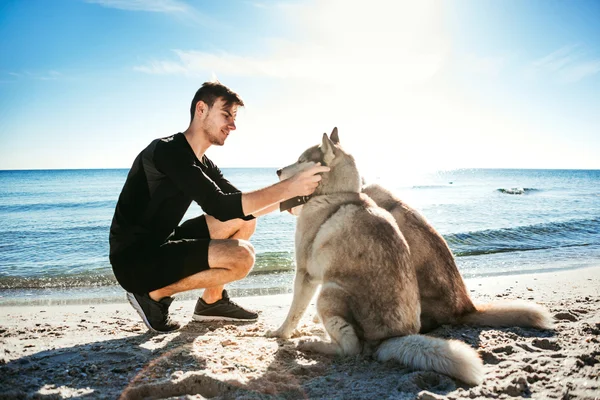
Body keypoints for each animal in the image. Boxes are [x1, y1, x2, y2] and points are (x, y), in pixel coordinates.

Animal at [268, 128, 488, 384]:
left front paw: (279, 333)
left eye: (301, 160)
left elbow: (293, 313)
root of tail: (389, 339)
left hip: (328, 292)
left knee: (350, 348)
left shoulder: (306, 274)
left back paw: (314, 344)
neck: (338, 194)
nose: (278, 170)